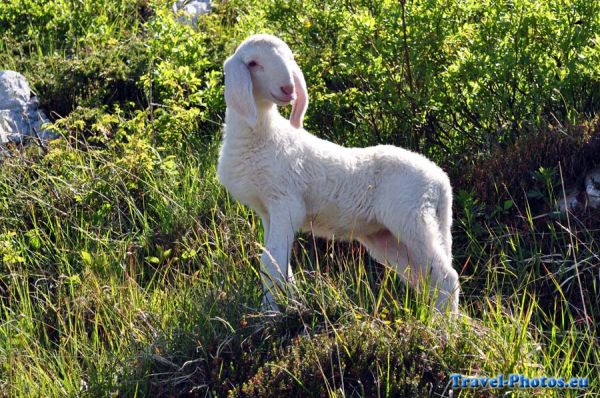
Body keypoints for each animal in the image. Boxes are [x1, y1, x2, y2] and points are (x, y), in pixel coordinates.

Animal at [218, 34, 462, 312]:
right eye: (253, 63)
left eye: (290, 58)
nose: (288, 89)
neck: (263, 134)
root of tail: (441, 182)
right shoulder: (267, 211)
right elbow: (278, 265)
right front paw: (285, 305)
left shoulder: (286, 202)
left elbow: (269, 263)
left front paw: (273, 313)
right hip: (390, 236)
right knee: (424, 278)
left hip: (412, 219)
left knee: (445, 277)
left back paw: (446, 323)